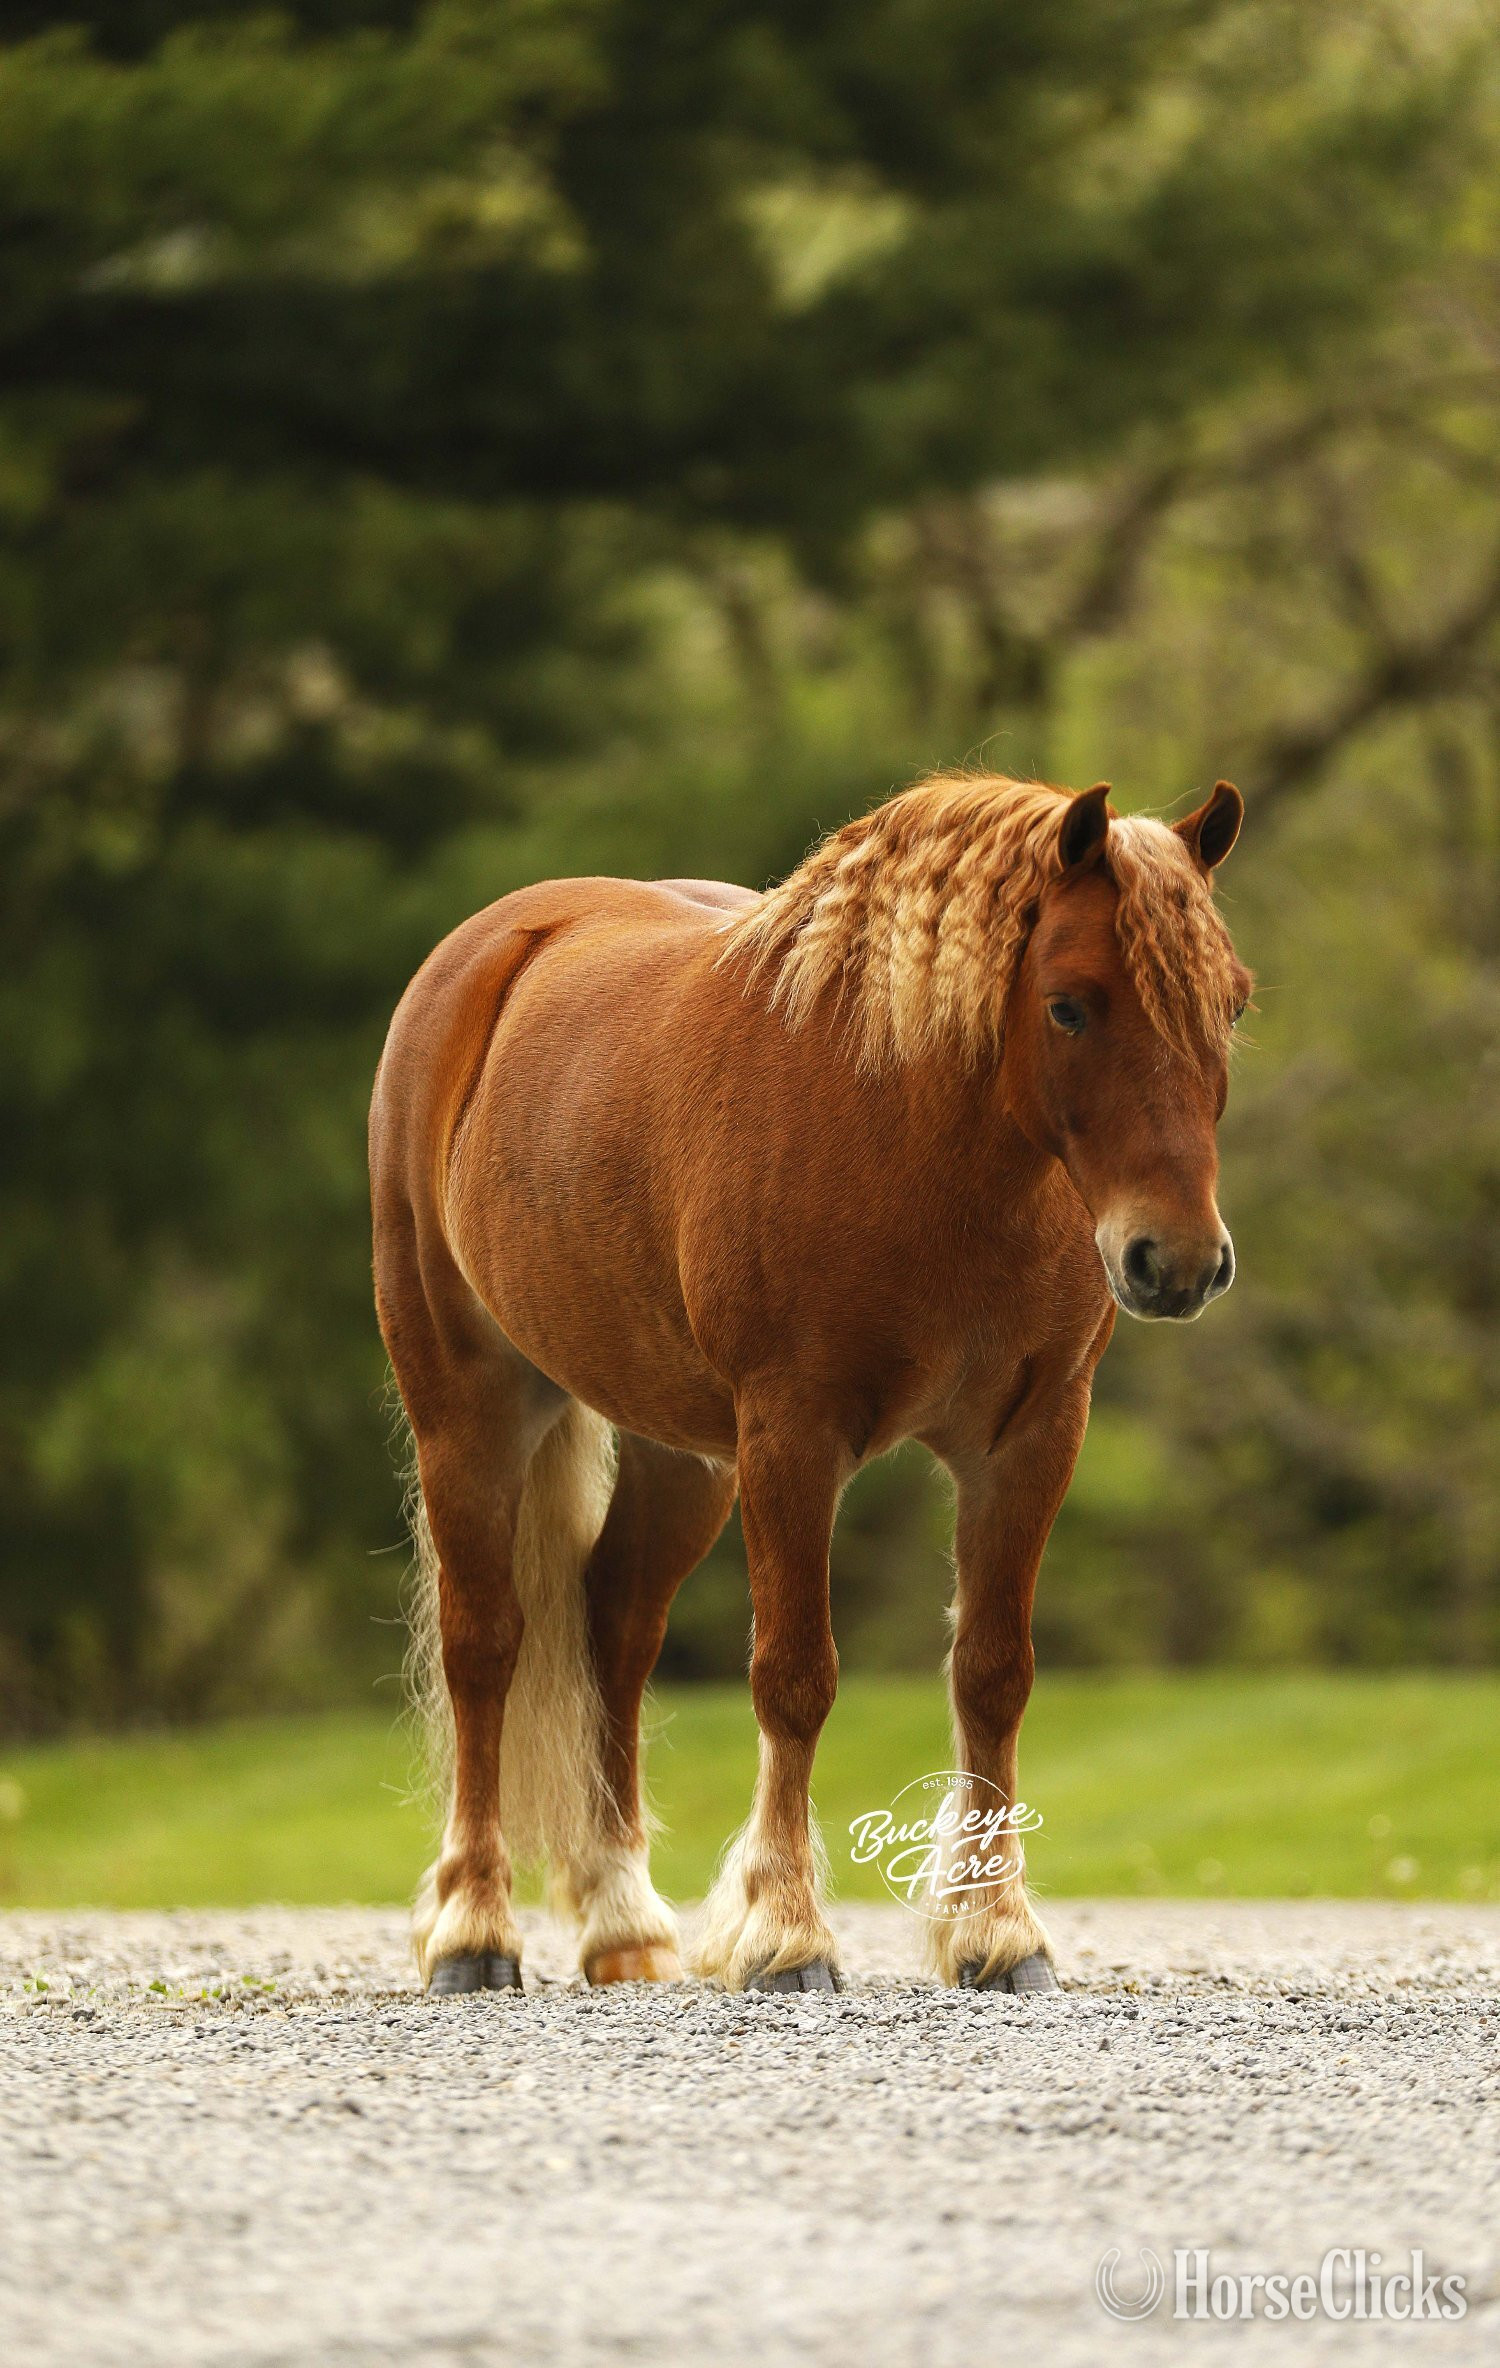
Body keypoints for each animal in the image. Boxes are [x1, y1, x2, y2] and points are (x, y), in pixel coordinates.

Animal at [369, 770, 1250, 1996]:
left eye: (1233, 1005)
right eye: (1072, 1005)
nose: (1178, 1261)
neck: (915, 1139)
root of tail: (493, 952)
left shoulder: (1030, 1438)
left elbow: (993, 1671)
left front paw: (998, 1933)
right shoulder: (794, 1434)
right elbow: (794, 1676)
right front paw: (787, 1933)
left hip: (684, 1456)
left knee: (613, 1628)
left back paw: (622, 1920)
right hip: (472, 1411)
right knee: (484, 1643)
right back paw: (473, 1930)